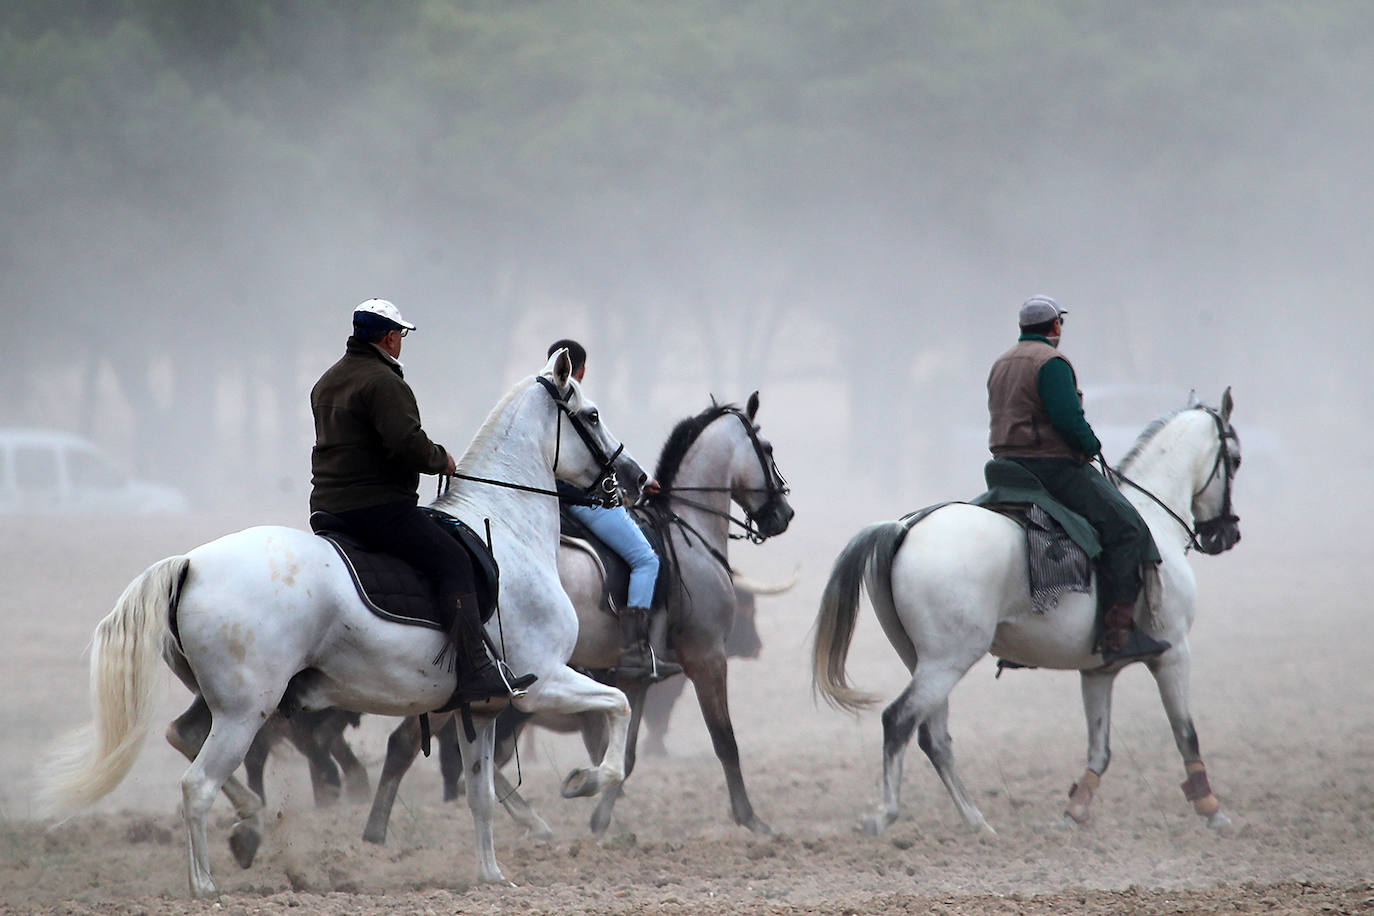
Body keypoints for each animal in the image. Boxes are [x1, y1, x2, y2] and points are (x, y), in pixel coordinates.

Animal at [36, 348, 648, 895]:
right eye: (592, 414)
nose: (636, 478)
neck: (506, 531)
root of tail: (189, 564)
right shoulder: (542, 682)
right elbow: (617, 714)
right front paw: (582, 782)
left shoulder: (483, 706)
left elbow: (481, 797)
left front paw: (492, 877)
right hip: (245, 711)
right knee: (197, 786)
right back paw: (205, 883)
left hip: (222, 704)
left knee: (183, 738)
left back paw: (250, 829)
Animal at [813, 390, 1247, 834]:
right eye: (1235, 459)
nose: (1226, 534)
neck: (1154, 520)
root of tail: (906, 529)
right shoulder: (1174, 652)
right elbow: (1185, 734)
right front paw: (1213, 810)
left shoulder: (1098, 671)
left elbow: (1100, 748)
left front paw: (1074, 812)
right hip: (947, 661)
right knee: (899, 721)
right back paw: (885, 815)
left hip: (922, 660)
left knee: (933, 737)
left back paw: (977, 824)